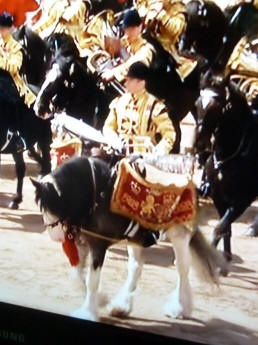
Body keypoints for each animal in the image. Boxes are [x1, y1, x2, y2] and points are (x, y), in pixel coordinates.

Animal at [195, 74, 258, 258]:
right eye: (197, 102)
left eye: (216, 107)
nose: (200, 144)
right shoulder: (219, 196)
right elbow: (225, 229)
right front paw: (226, 257)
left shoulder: (242, 200)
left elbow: (219, 228)